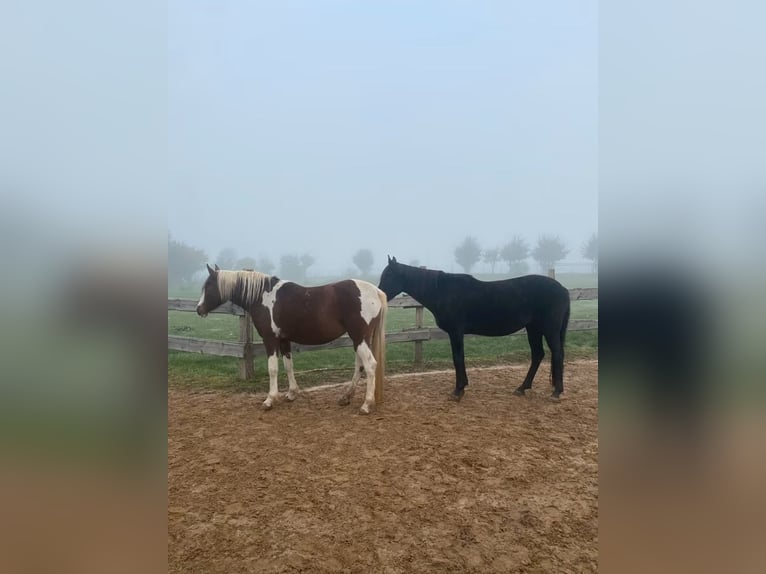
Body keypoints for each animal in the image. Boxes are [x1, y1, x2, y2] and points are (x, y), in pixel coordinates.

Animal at [198, 266, 390, 414]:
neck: (262, 296)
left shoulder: (270, 340)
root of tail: (376, 291)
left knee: (370, 365)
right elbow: (288, 366)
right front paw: (291, 393)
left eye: (208, 286)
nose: (199, 309)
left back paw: (366, 404)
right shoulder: (284, 340)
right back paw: (346, 397)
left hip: (359, 337)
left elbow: (273, 369)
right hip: (359, 338)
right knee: (360, 365)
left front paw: (270, 400)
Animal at [378, 258, 568, 402]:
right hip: (533, 329)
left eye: (389, 274)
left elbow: (458, 359)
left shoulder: (456, 332)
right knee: (537, 355)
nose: (380, 294)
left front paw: (458, 390)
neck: (443, 291)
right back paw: (522, 388)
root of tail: (562, 289)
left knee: (557, 354)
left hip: (549, 329)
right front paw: (462, 387)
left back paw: (556, 392)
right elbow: (459, 359)